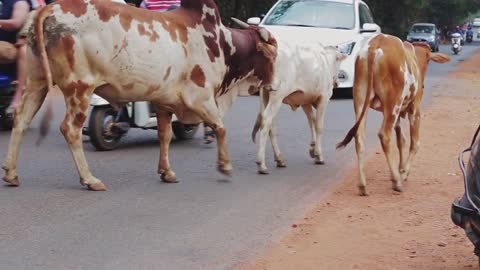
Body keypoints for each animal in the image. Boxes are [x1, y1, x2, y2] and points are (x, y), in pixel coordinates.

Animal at [0, 0, 278, 190]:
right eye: (271, 54)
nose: (274, 84)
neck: (221, 43)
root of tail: (49, 9)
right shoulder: (200, 97)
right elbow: (220, 128)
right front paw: (225, 166)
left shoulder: (165, 102)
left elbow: (165, 136)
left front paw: (167, 172)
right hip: (79, 88)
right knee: (70, 129)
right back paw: (89, 179)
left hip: (36, 83)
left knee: (21, 120)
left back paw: (11, 173)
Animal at [249, 39, 346, 175]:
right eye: (339, 61)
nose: (337, 82)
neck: (325, 61)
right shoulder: (324, 98)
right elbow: (319, 126)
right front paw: (319, 155)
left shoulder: (305, 101)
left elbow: (311, 121)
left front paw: (312, 149)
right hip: (277, 96)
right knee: (267, 120)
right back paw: (261, 164)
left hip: (265, 95)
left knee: (269, 124)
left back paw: (279, 159)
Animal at [338, 34, 450, 196]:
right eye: (429, 59)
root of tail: (376, 43)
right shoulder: (414, 110)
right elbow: (414, 143)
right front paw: (403, 173)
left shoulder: (397, 115)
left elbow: (400, 140)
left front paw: (399, 169)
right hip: (393, 103)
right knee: (384, 135)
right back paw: (397, 182)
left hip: (360, 100)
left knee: (359, 136)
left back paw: (362, 185)